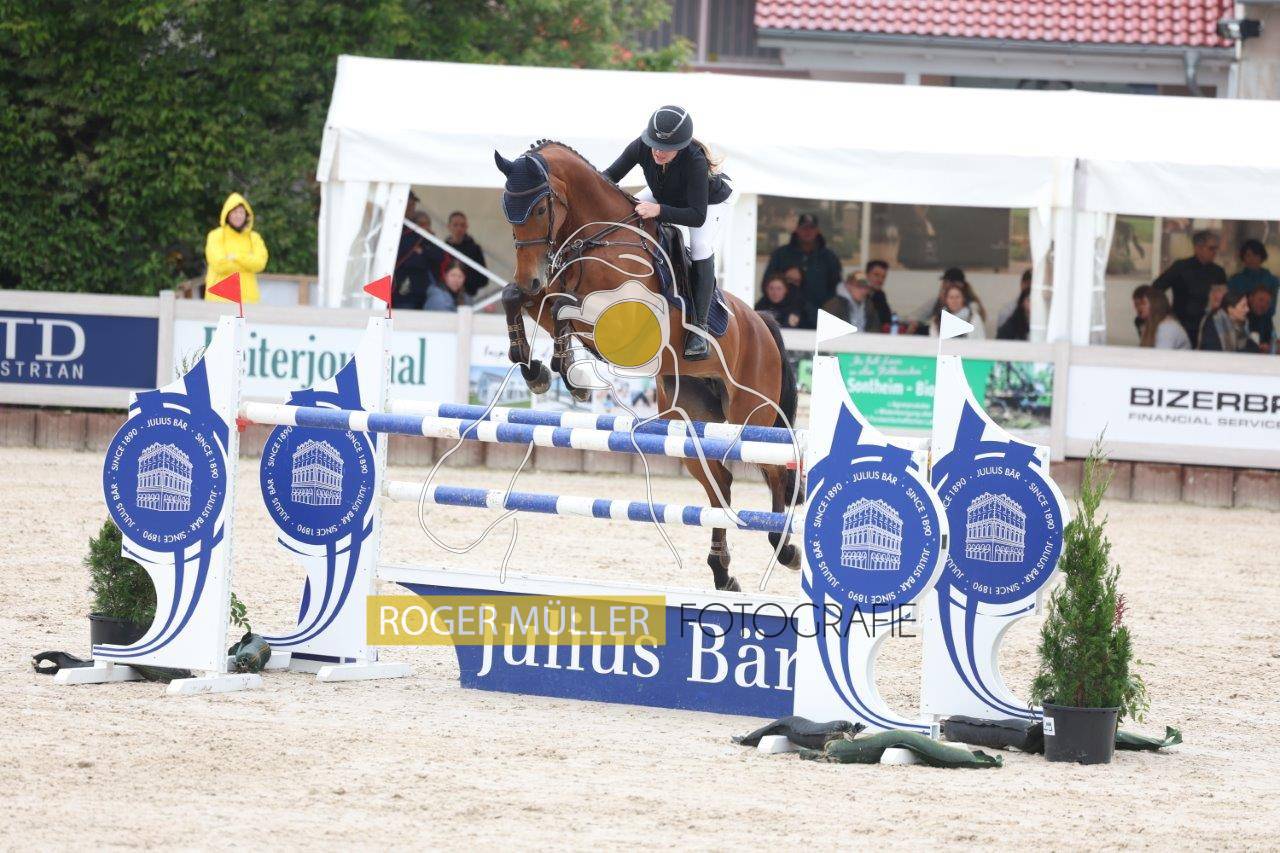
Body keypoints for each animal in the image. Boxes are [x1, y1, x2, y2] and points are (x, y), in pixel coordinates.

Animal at [493, 140, 801, 592]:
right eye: (507, 209)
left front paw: (562, 369)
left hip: (752, 413)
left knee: (775, 469)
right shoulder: (549, 293)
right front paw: (541, 369)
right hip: (689, 418)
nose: (530, 275)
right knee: (720, 485)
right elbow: (525, 298)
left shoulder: (622, 321)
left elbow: (562, 305)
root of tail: (762, 322)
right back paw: (722, 572)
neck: (598, 240)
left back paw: (785, 547)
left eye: (540, 207)